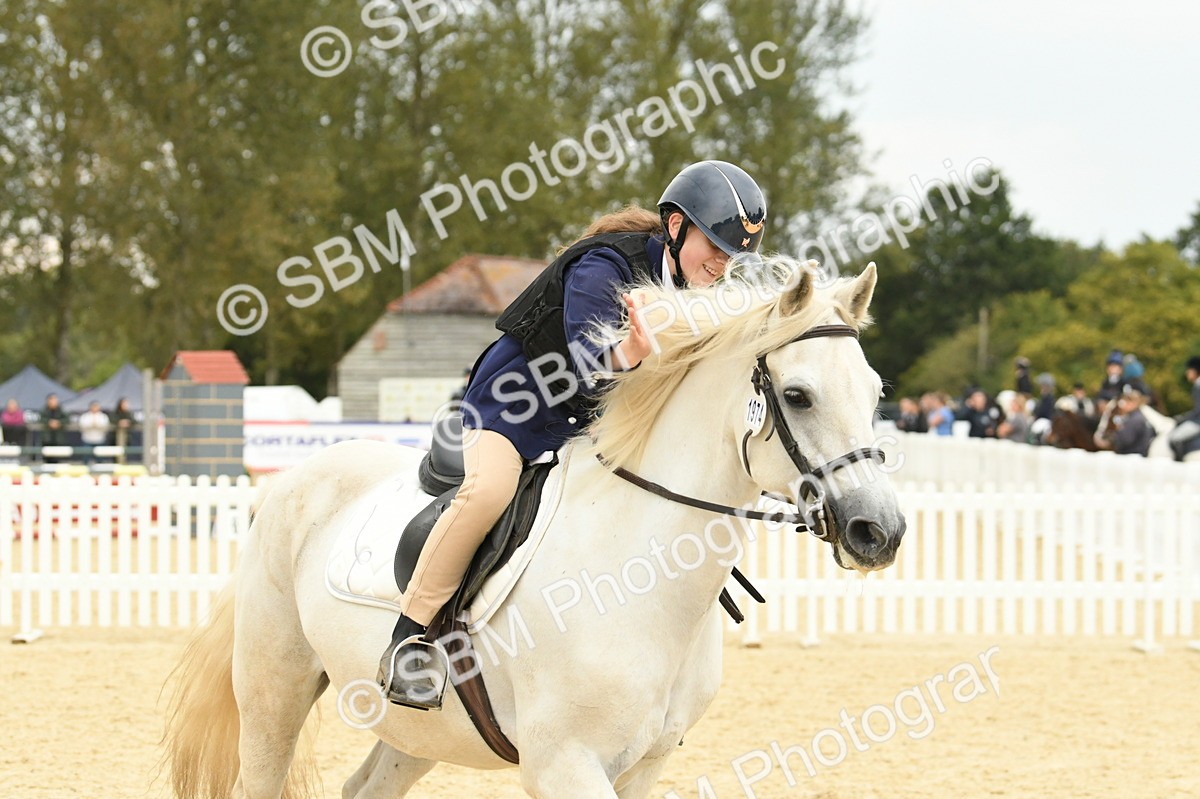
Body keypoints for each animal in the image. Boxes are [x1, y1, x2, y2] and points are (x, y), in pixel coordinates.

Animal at [163, 260, 906, 799]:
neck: (642, 574)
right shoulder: (564, 765)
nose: (881, 530)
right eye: (798, 396)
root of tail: (289, 482)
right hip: (274, 693)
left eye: (876, 394)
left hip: (417, 731)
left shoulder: (643, 768)